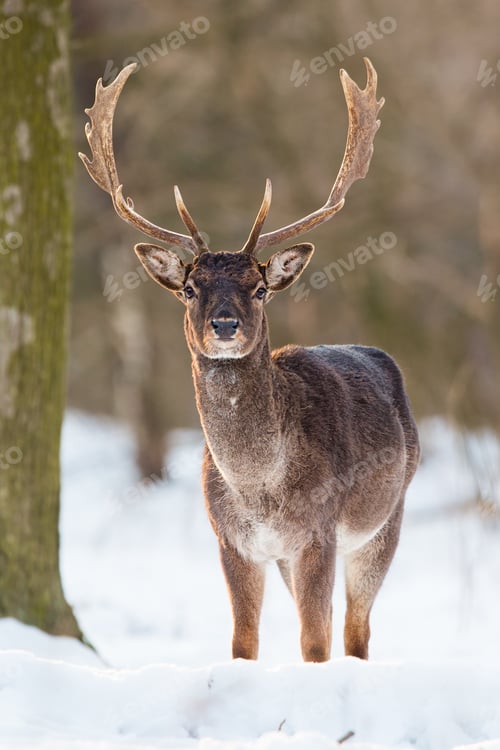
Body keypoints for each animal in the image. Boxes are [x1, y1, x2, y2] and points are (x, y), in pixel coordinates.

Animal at [80, 58, 420, 663]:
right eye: (190, 287)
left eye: (259, 288)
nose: (224, 325)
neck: (259, 489)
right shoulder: (233, 540)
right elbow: (243, 643)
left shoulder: (318, 531)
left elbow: (315, 642)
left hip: (387, 517)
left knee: (356, 630)